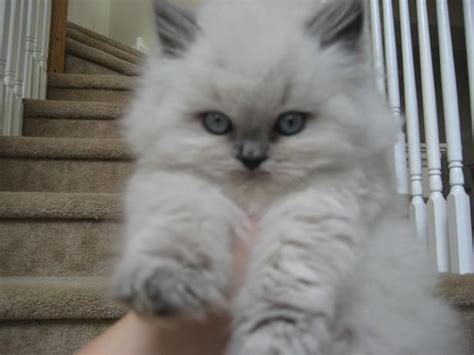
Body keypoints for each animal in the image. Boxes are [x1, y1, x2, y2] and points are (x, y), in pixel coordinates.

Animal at [113, 0, 464, 354]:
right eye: (217, 123)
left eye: (290, 124)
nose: (251, 158)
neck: (256, 206)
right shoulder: (179, 182)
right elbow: (180, 233)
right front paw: (164, 288)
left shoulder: (320, 204)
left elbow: (284, 287)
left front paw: (271, 344)